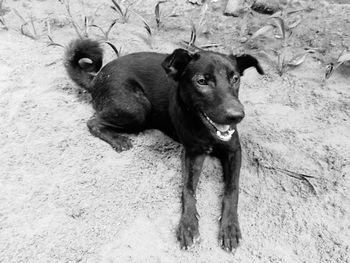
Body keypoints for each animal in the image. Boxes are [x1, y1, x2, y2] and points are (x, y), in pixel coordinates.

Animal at [64, 38, 264, 252]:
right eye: (201, 81)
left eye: (235, 79)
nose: (237, 116)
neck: (205, 129)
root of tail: (97, 77)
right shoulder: (192, 154)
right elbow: (188, 189)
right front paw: (188, 224)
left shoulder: (234, 151)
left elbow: (232, 190)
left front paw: (230, 226)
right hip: (137, 108)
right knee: (93, 121)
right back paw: (118, 140)